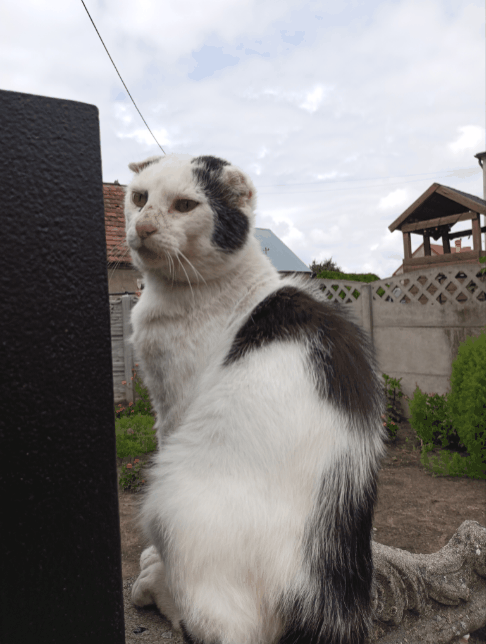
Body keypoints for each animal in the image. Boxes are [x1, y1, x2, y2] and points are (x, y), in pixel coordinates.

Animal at [126, 153, 387, 644]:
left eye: (185, 205)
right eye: (139, 198)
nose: (144, 226)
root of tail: (322, 600)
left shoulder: (172, 406)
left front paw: (152, 563)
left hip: (172, 495)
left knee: (217, 626)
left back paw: (155, 584)